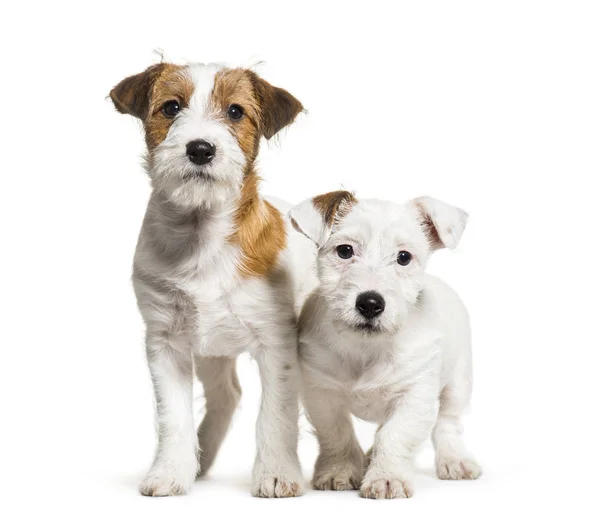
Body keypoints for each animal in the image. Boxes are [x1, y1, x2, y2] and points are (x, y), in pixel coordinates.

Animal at [111, 62, 310, 496]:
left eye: (235, 112)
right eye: (171, 107)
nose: (200, 149)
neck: (202, 237)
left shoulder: (277, 344)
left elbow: (276, 414)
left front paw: (276, 473)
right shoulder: (165, 343)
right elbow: (173, 416)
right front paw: (170, 472)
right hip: (210, 352)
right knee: (227, 395)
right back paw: (200, 456)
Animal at [288, 190, 480, 496]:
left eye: (404, 257)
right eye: (345, 251)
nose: (370, 303)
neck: (368, 348)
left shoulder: (415, 394)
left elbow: (395, 435)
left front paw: (387, 476)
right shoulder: (321, 392)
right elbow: (337, 432)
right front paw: (340, 470)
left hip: (458, 382)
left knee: (448, 423)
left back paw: (454, 459)